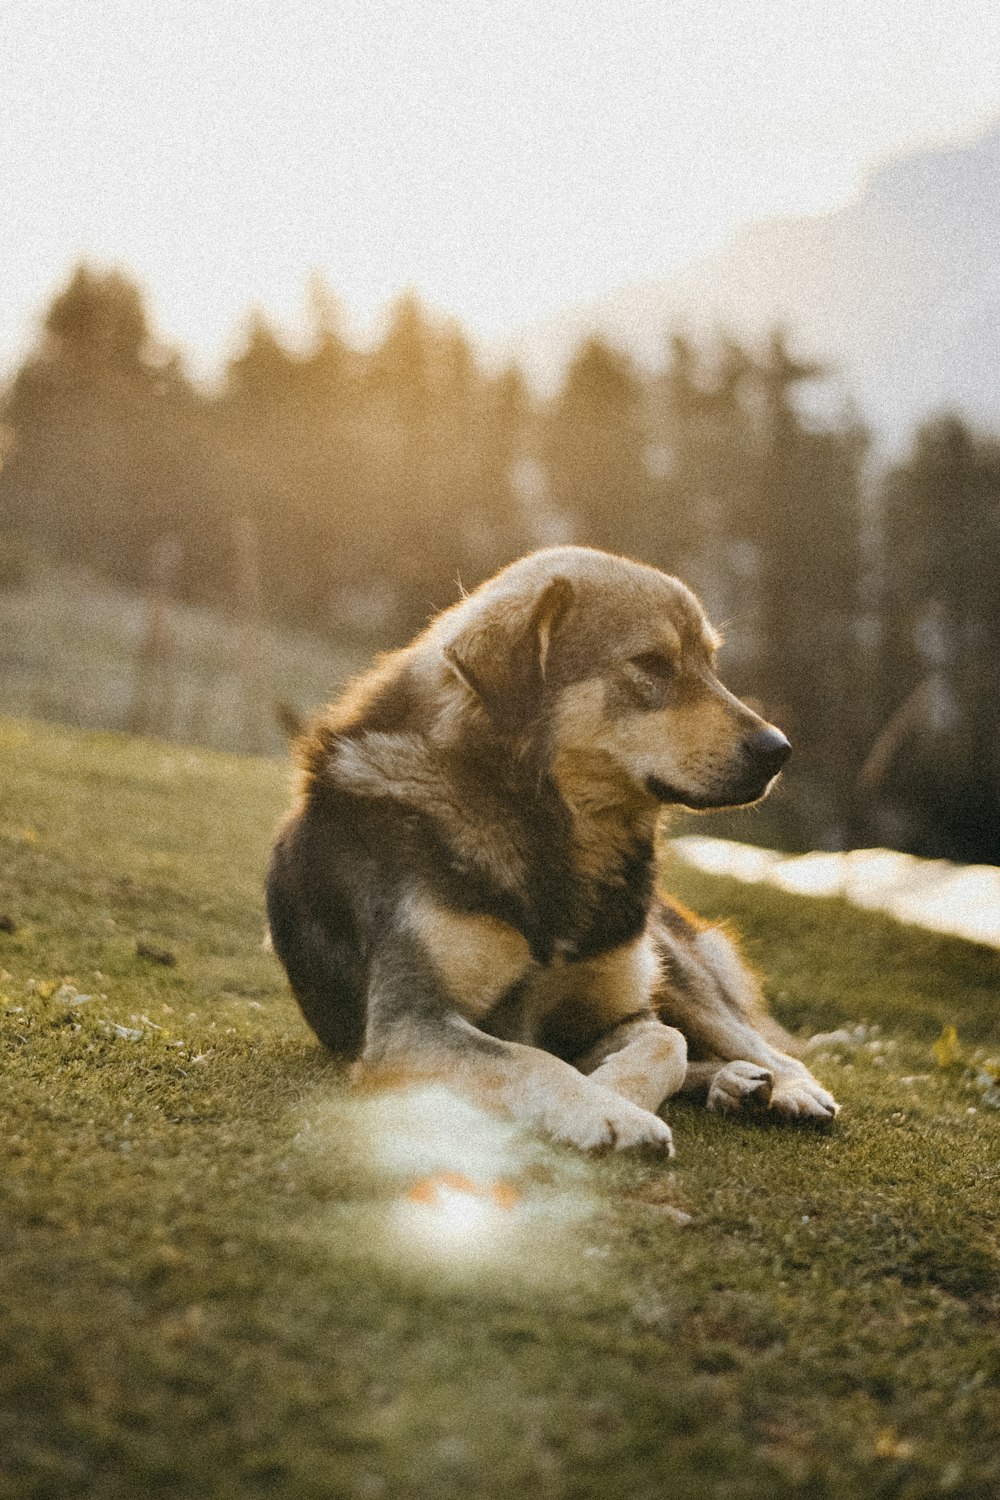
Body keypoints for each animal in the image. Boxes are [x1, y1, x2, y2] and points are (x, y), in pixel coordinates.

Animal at [265, 546, 839, 1152]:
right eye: (652, 663)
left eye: (710, 663)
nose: (779, 750)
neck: (543, 826)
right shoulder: (411, 1022)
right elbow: (533, 1059)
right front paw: (609, 1111)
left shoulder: (617, 1014)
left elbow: (665, 1044)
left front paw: (615, 1093)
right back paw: (735, 1086)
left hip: (673, 968)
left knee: (749, 1042)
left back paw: (784, 1087)